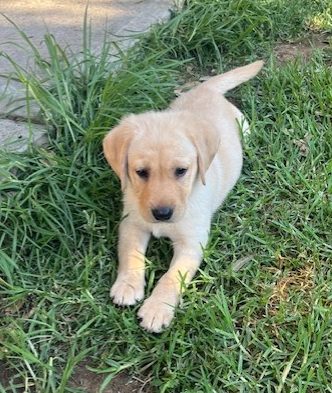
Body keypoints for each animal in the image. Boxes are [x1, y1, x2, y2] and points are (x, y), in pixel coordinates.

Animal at [102, 60, 264, 330]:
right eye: (141, 172)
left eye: (181, 171)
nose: (162, 214)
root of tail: (205, 88)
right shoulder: (132, 223)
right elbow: (130, 253)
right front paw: (127, 285)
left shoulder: (192, 243)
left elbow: (171, 276)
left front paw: (157, 309)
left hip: (245, 128)